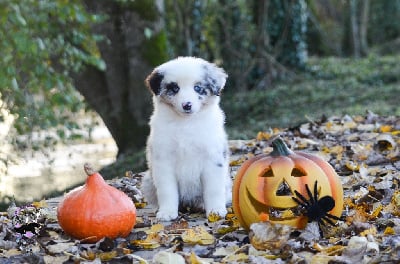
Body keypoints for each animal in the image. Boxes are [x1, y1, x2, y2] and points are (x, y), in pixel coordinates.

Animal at [144, 56, 231, 221]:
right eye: (175, 88)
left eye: (197, 88)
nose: (187, 105)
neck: (186, 123)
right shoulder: (163, 159)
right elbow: (167, 189)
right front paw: (167, 212)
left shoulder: (212, 157)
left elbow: (213, 189)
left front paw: (215, 211)